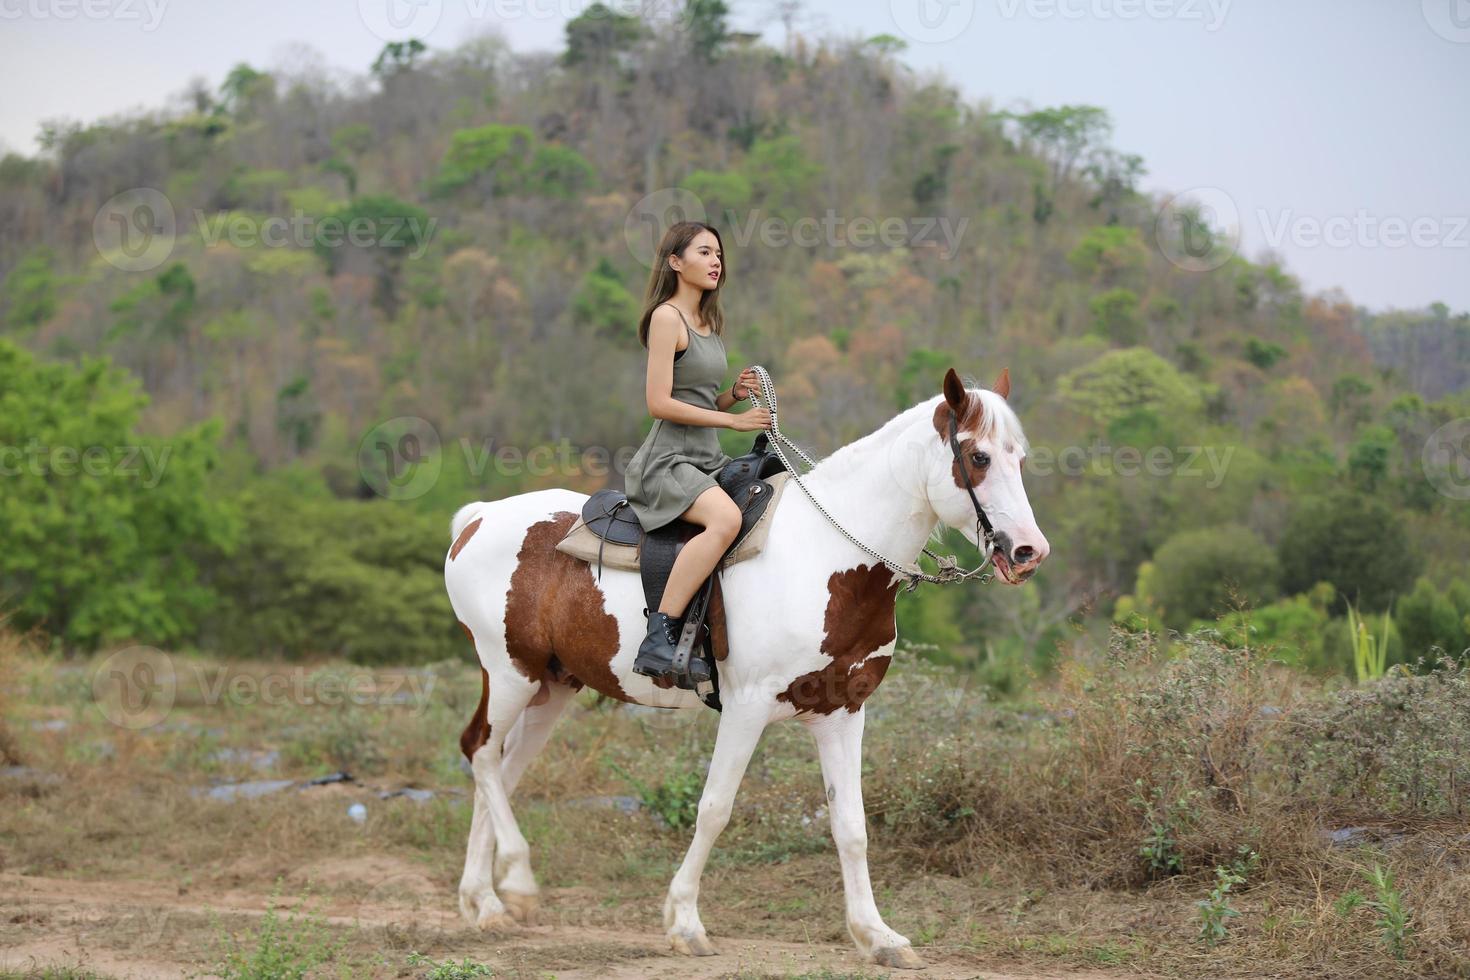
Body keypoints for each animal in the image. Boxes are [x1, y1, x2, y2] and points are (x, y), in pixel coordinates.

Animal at [441, 365, 1052, 963]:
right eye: (978, 457)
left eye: (1019, 457)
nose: (1029, 552)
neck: (829, 557)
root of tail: (478, 518)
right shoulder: (746, 708)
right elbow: (715, 809)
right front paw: (685, 922)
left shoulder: (842, 714)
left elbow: (851, 826)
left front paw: (877, 936)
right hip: (510, 673)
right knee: (482, 753)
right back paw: (512, 884)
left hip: (552, 688)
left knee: (501, 770)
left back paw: (483, 901)